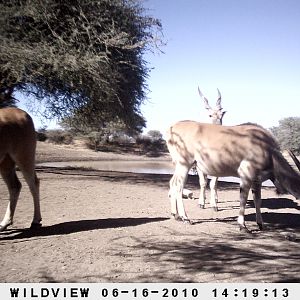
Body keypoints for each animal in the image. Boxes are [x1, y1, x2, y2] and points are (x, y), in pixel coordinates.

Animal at [166, 120, 300, 231]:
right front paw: (242, 226)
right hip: (184, 165)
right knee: (179, 186)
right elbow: (243, 199)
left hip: (180, 166)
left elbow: (257, 200)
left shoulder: (257, 181)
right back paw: (185, 218)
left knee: (173, 183)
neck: (267, 150)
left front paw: (260, 224)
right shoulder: (246, 176)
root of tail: (172, 127)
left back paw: (175, 215)